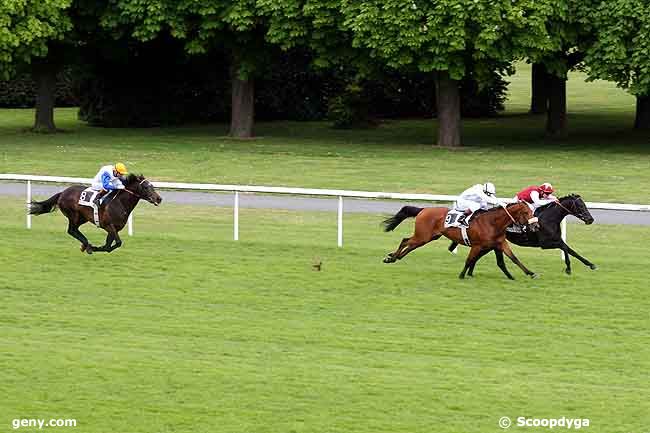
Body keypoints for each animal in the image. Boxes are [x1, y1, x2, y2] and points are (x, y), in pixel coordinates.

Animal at [28, 172, 162, 253]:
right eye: (146, 187)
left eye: (152, 186)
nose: (159, 199)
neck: (120, 203)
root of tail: (62, 193)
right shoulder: (109, 226)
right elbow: (117, 243)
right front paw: (93, 248)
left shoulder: (114, 229)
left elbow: (109, 246)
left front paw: (95, 247)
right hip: (74, 215)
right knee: (71, 230)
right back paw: (86, 245)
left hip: (83, 218)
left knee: (74, 230)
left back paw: (85, 245)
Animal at [382, 203, 540, 280]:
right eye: (526, 212)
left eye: (532, 212)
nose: (536, 226)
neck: (492, 222)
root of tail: (424, 209)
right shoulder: (477, 245)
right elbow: (469, 260)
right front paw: (462, 275)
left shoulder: (500, 243)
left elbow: (513, 258)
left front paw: (530, 273)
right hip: (423, 235)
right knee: (405, 241)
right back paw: (391, 258)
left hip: (428, 237)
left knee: (410, 245)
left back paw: (394, 257)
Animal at [448, 195, 596, 276]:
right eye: (581, 206)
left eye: (585, 205)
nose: (591, 219)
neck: (549, 218)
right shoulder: (546, 243)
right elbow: (566, 248)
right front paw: (572, 268)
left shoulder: (556, 239)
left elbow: (569, 249)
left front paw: (587, 265)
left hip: (491, 243)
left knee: (478, 255)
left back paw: (470, 272)